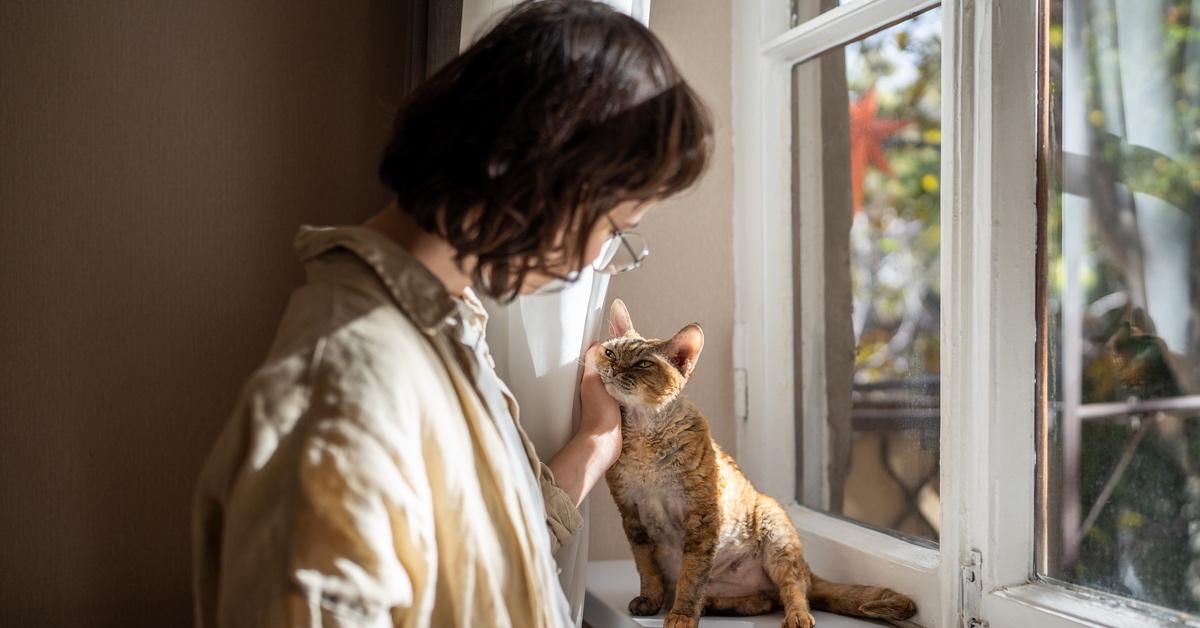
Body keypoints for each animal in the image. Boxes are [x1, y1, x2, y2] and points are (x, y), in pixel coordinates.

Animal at [600, 301, 916, 628]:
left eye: (642, 364)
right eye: (610, 352)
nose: (614, 368)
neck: (646, 440)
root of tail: (808, 567)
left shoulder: (701, 516)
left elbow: (692, 576)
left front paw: (682, 615)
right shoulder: (632, 516)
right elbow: (647, 568)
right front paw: (650, 601)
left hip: (775, 533)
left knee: (793, 589)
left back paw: (795, 616)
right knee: (762, 600)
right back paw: (712, 604)